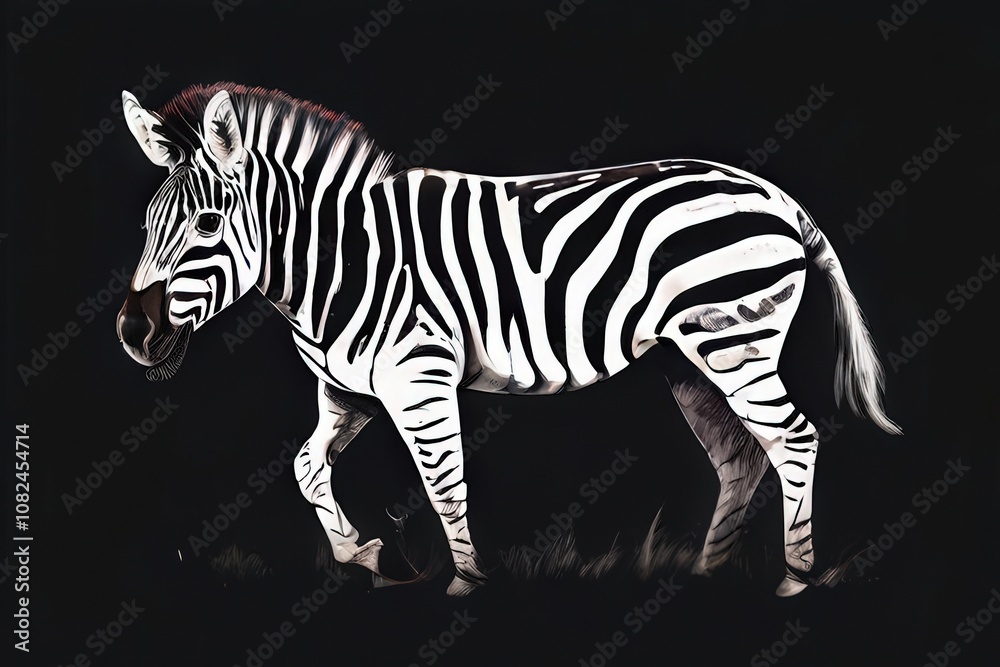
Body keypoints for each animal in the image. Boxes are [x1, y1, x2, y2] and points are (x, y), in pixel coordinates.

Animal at [116, 83, 900, 598]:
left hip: (737, 340)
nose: (131, 333)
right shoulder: (348, 388)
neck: (342, 262)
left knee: (793, 439)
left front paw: (465, 585)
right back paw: (708, 576)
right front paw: (370, 556)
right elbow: (308, 467)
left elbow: (445, 484)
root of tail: (775, 195)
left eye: (208, 225)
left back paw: (795, 578)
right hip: (689, 361)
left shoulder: (418, 378)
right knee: (741, 457)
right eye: (148, 221)